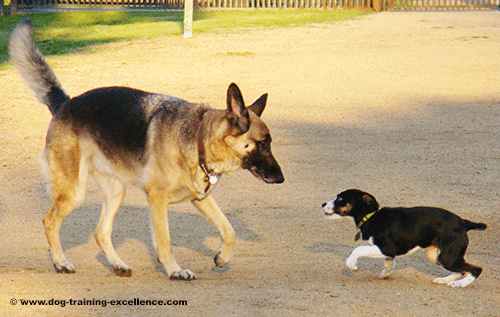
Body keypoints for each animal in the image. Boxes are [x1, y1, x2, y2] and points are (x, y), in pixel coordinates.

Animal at [10, 17, 286, 278]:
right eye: (263, 144)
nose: (281, 179)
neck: (198, 137)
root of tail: (65, 103)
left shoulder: (201, 198)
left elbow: (229, 230)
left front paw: (222, 258)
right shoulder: (157, 199)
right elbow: (165, 243)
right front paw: (175, 271)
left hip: (116, 191)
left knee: (101, 232)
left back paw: (118, 265)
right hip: (73, 192)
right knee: (49, 222)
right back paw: (61, 263)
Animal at [322, 189, 486, 288]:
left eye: (340, 199)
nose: (323, 203)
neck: (372, 217)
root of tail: (464, 222)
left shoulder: (386, 248)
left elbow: (358, 249)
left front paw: (352, 265)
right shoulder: (388, 252)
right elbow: (389, 263)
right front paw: (386, 274)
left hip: (446, 257)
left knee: (476, 269)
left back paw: (460, 284)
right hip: (436, 255)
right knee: (461, 269)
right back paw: (444, 280)